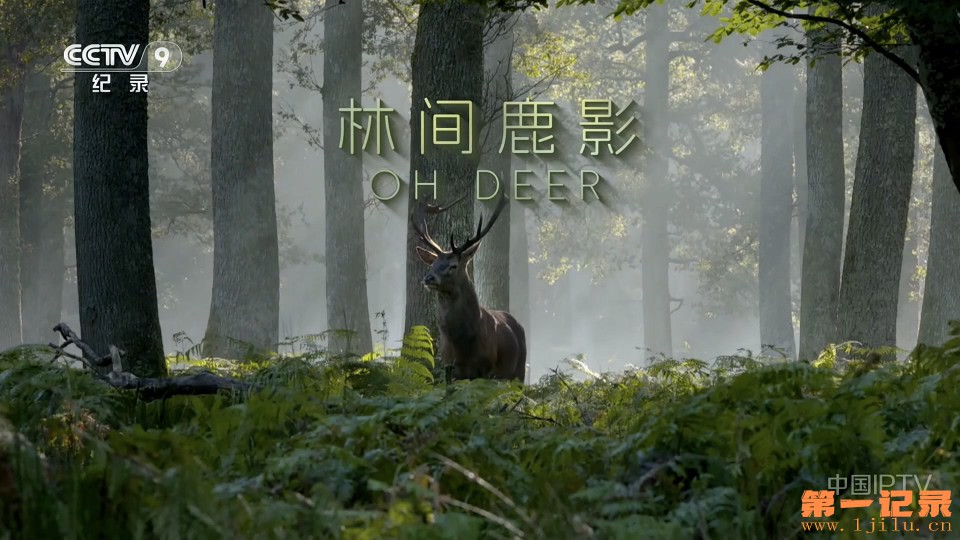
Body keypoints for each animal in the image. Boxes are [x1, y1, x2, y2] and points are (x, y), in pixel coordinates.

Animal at [411, 193, 527, 382]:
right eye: (433, 264)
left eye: (453, 265)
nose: (428, 278)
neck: (463, 344)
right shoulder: (450, 368)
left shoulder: (487, 369)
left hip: (518, 371)